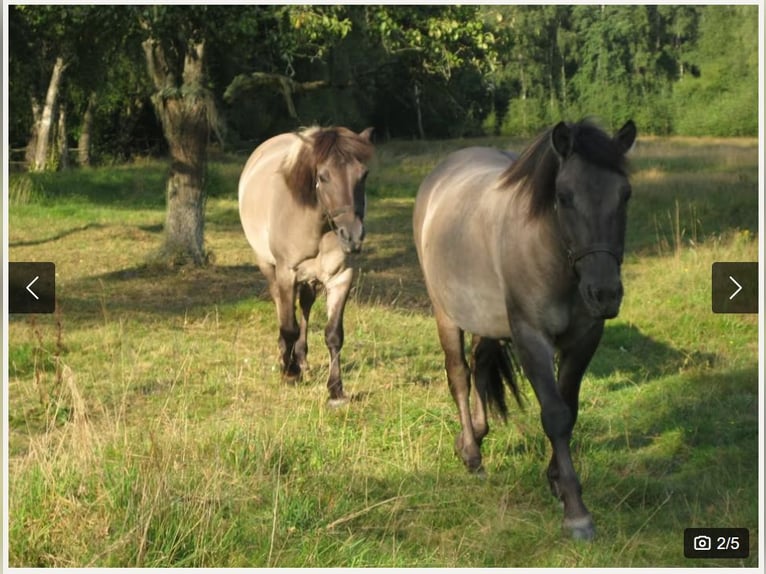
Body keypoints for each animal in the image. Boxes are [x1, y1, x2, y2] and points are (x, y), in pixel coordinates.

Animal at [238, 126, 374, 406]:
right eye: (323, 176)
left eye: (363, 174)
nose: (352, 236)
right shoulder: (287, 273)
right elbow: (288, 326)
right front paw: (290, 372)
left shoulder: (341, 277)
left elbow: (334, 334)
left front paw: (336, 389)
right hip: (269, 268)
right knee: (281, 305)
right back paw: (287, 359)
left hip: (311, 279)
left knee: (305, 306)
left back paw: (302, 359)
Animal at [413, 119, 637, 540]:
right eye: (564, 196)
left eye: (625, 194)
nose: (605, 294)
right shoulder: (532, 339)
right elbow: (555, 415)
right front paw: (576, 511)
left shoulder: (584, 340)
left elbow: (570, 409)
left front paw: (556, 480)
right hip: (445, 314)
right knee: (460, 376)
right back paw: (472, 455)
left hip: (485, 320)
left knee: (481, 367)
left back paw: (472, 437)